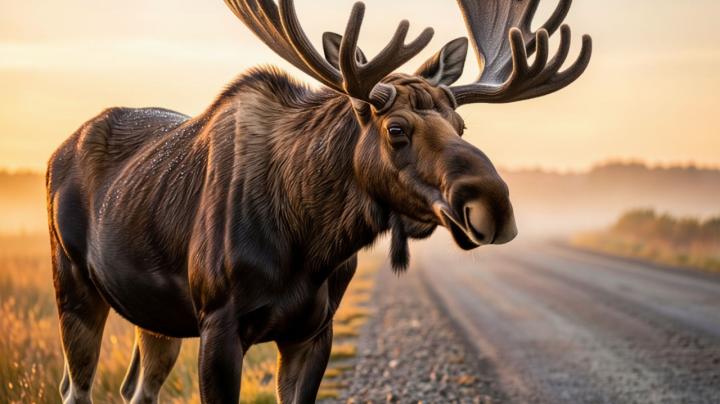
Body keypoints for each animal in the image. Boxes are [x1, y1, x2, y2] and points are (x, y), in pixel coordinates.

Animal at [45, 0, 591, 402]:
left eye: (461, 125)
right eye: (396, 129)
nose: (494, 205)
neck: (310, 243)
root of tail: (55, 152)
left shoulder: (313, 332)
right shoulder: (219, 323)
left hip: (155, 316)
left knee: (136, 389)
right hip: (73, 284)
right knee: (75, 388)